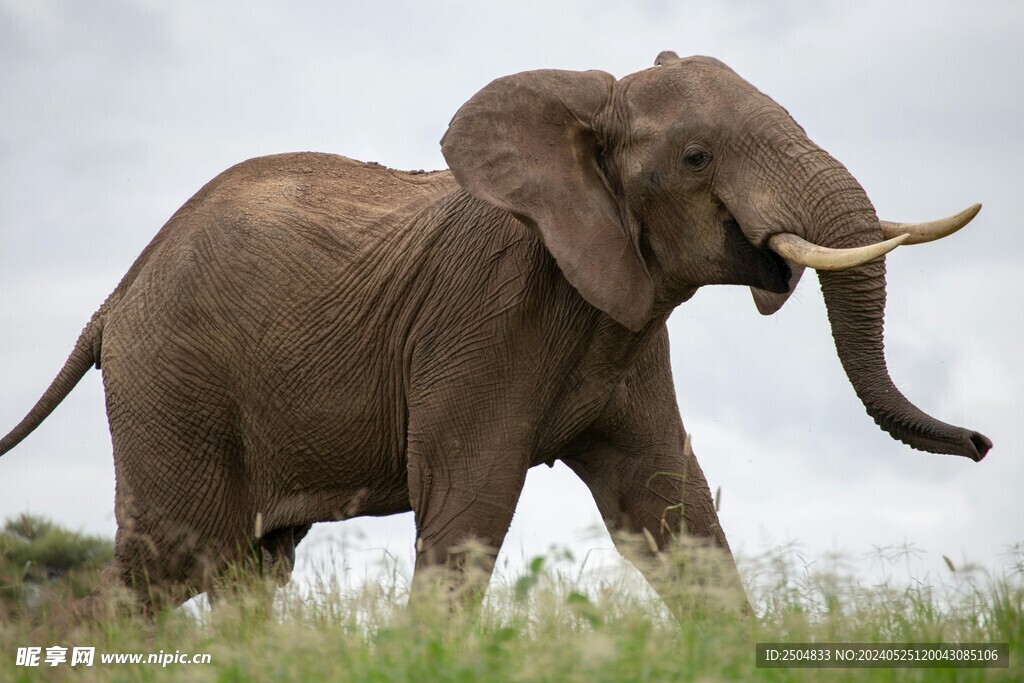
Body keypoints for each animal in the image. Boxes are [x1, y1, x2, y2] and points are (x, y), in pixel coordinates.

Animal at [0, 52, 990, 613]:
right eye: (697, 157)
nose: (983, 443)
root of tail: (111, 301)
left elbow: (674, 514)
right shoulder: (483, 319)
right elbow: (468, 510)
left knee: (251, 570)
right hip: (175, 388)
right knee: (167, 566)